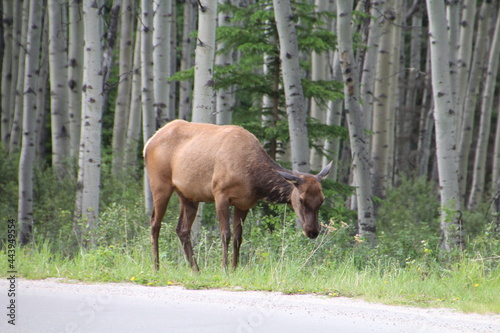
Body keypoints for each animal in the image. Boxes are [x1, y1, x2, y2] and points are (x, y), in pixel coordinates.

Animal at [145, 119, 332, 270]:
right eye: (301, 199)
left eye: (322, 200)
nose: (313, 231)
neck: (253, 178)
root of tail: (148, 142)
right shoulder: (220, 194)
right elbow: (225, 234)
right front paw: (224, 268)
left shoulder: (244, 203)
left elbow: (238, 237)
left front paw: (235, 268)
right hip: (160, 184)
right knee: (155, 222)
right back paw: (156, 266)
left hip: (188, 195)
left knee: (182, 229)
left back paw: (196, 269)